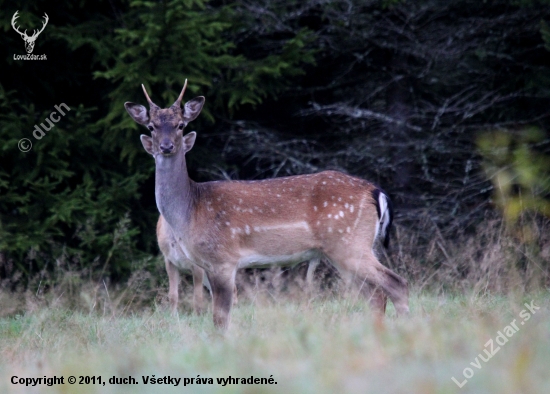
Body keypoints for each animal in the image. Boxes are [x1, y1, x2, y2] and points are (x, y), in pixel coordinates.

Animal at [126, 80, 410, 330]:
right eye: (151, 126)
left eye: (181, 125)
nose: (166, 146)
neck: (190, 210)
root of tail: (375, 191)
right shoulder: (206, 265)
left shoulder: (223, 259)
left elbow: (220, 318)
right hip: (346, 250)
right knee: (375, 295)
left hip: (349, 243)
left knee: (396, 284)